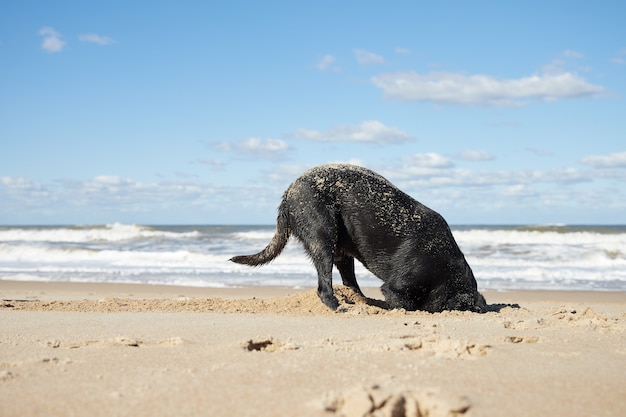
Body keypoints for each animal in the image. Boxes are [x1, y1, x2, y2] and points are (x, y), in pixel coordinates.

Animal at [232, 163, 486, 312]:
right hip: (323, 236)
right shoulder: (397, 288)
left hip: (342, 251)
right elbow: (406, 305)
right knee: (324, 287)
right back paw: (338, 306)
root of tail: (287, 194)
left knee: (350, 283)